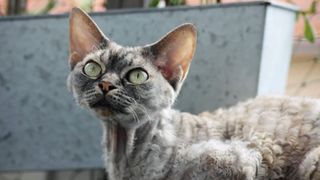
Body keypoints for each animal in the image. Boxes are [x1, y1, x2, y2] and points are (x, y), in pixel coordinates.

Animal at [66, 7, 320, 180]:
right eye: (92, 68)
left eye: (137, 75)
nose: (106, 84)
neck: (125, 156)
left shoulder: (242, 159)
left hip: (311, 162)